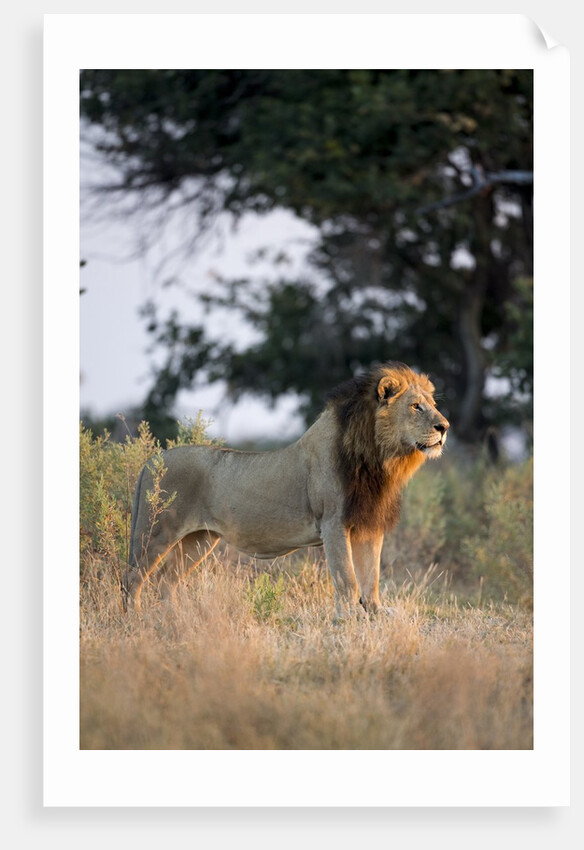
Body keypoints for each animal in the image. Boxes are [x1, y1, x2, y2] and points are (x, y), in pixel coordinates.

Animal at [124, 362, 449, 618]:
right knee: (133, 576)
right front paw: (349, 618)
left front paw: (376, 613)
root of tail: (150, 462)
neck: (380, 459)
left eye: (433, 404)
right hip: (157, 533)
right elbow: (347, 577)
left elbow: (372, 576)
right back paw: (135, 619)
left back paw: (174, 618)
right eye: (416, 406)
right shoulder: (333, 522)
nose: (444, 427)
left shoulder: (368, 524)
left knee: (167, 580)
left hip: (199, 540)